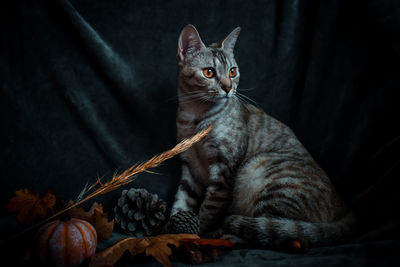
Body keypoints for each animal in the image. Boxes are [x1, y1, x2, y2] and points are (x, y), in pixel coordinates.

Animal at [170, 25, 354, 249]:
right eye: (209, 72)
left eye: (232, 71)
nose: (228, 87)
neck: (194, 119)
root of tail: (343, 205)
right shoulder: (189, 166)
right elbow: (181, 202)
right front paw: (173, 231)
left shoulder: (224, 171)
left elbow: (208, 210)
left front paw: (199, 235)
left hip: (264, 175)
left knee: (274, 231)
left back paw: (226, 236)